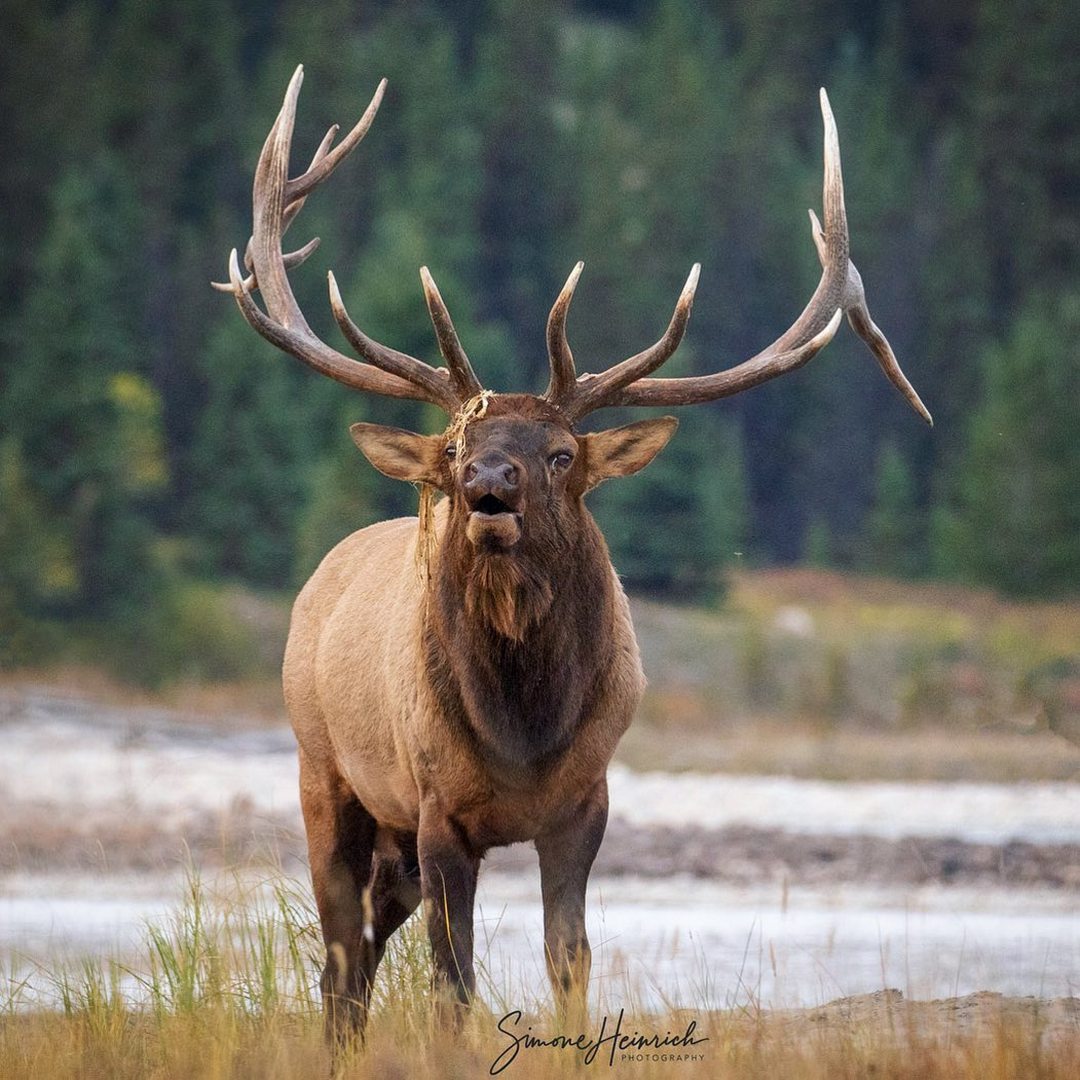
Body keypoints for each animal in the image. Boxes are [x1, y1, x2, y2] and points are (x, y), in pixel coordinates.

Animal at [214, 67, 933, 1045]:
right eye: (454, 443)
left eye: (561, 452)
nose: (486, 485)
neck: (525, 730)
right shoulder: (437, 809)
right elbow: (452, 983)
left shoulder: (586, 803)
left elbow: (569, 960)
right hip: (325, 772)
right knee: (339, 956)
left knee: (357, 948)